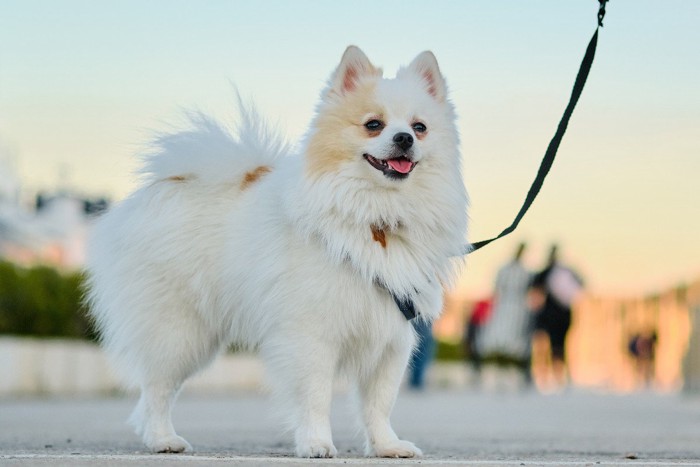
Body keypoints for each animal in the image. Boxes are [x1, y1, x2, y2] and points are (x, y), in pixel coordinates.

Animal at [87, 46, 470, 458]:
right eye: (373, 124)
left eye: (420, 127)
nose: (403, 138)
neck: (377, 218)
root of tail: (168, 186)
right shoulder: (311, 334)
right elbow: (316, 396)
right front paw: (316, 443)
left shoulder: (390, 337)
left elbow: (379, 403)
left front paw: (386, 445)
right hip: (179, 332)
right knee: (156, 389)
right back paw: (162, 439)